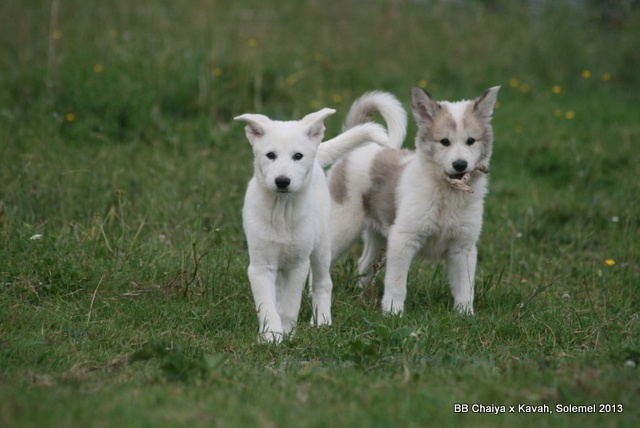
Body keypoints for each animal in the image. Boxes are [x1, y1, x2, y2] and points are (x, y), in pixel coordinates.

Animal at [330, 86, 500, 314]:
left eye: (471, 141)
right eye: (444, 141)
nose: (460, 165)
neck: (447, 196)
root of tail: (357, 148)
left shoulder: (463, 246)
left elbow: (465, 286)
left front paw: (465, 314)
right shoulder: (403, 239)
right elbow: (396, 283)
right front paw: (393, 312)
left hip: (378, 234)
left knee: (364, 263)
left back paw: (362, 295)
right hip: (343, 227)